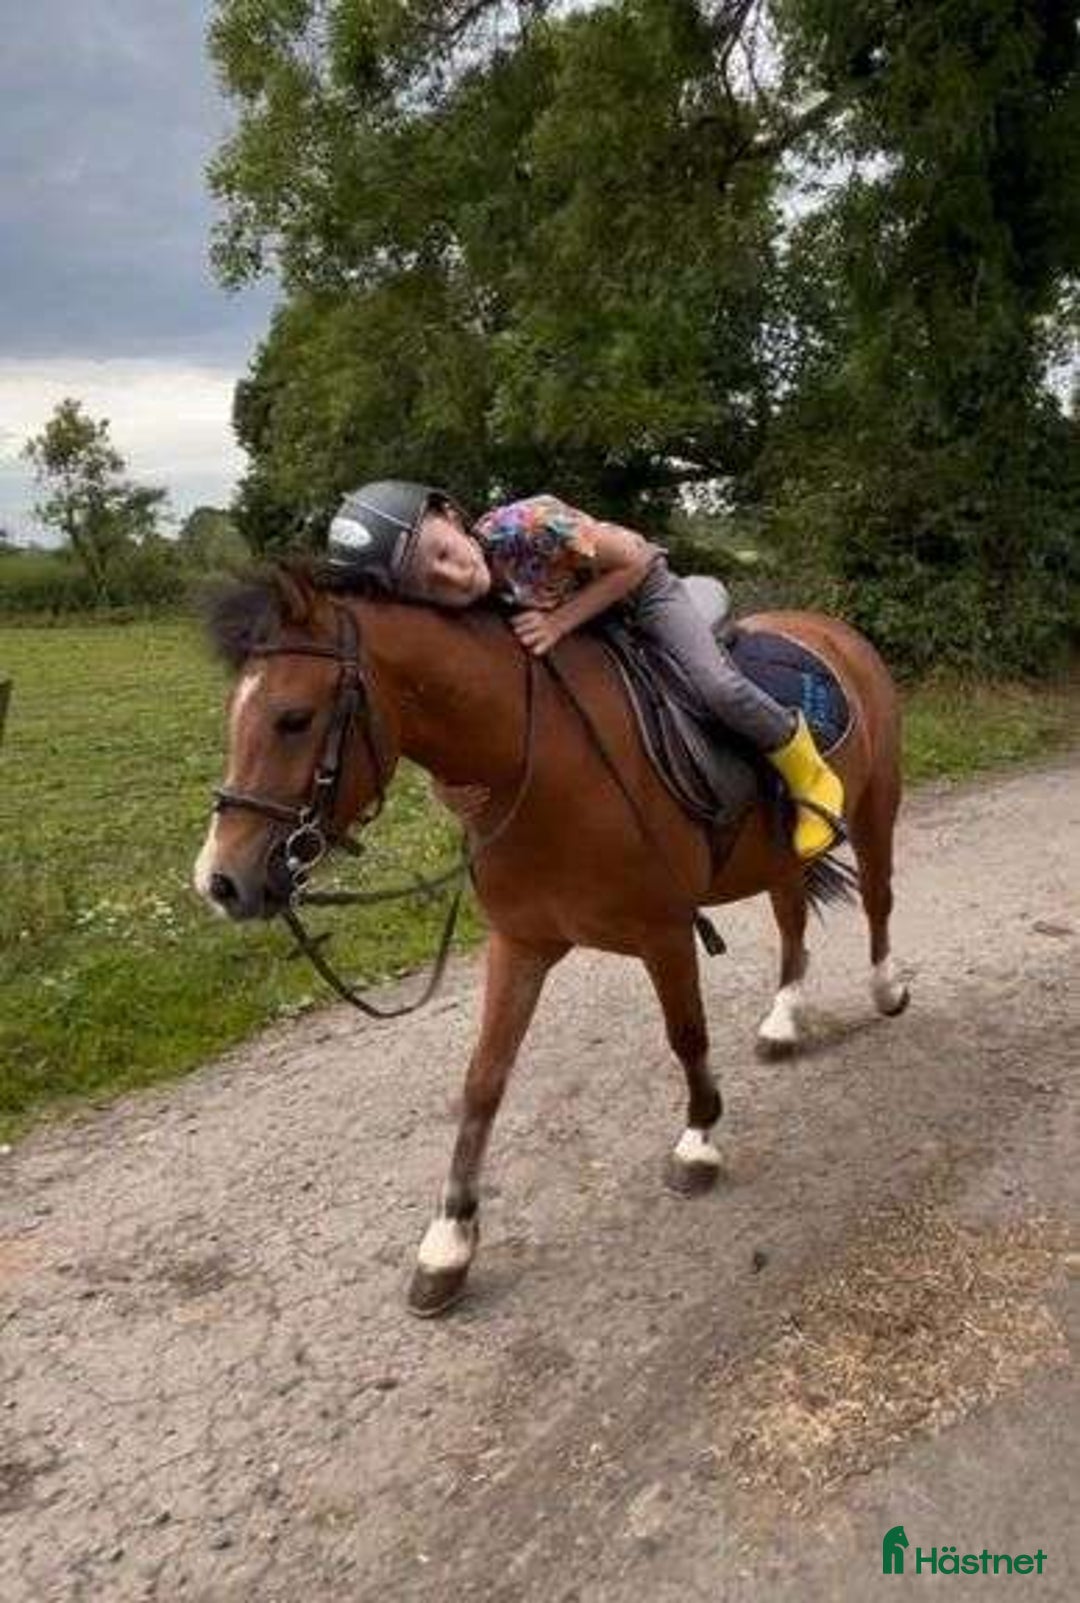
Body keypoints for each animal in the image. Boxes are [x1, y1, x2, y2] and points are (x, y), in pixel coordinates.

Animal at [194, 565, 909, 1315]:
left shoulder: (664, 932)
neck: (536, 763)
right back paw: (783, 1020)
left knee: (878, 898)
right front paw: (448, 1241)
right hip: (779, 855)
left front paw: (697, 1142)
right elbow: (483, 1080)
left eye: (293, 718)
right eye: (234, 714)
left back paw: (887, 988)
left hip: (875, 807)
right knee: (792, 918)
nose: (222, 881)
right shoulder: (521, 944)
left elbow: (687, 1037)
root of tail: (829, 628)